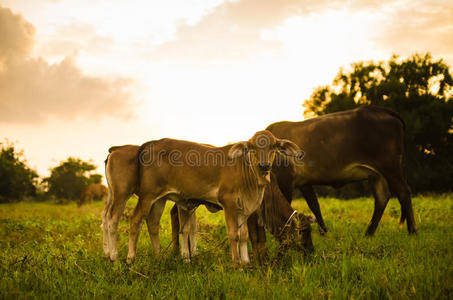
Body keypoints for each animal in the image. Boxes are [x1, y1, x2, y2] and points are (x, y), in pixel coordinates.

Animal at [125, 131, 302, 264]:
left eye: (274, 146)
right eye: (252, 147)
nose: (264, 165)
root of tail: (152, 143)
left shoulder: (244, 209)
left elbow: (244, 234)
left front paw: (246, 261)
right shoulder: (229, 203)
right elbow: (234, 234)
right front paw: (237, 264)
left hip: (159, 199)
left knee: (152, 223)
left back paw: (158, 257)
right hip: (147, 195)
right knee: (135, 221)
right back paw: (130, 259)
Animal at [264, 105, 416, 237]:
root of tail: (380, 110)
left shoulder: (285, 180)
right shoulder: (304, 182)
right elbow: (314, 205)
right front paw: (324, 232)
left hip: (390, 166)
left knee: (403, 192)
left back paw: (412, 232)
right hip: (377, 174)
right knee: (382, 198)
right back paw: (368, 233)